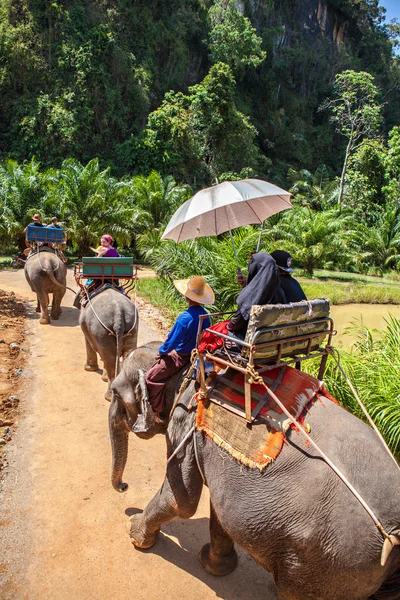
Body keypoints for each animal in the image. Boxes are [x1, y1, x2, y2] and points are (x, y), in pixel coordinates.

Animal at [108, 342, 400, 600]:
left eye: (115, 393)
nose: (124, 487)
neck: (185, 367)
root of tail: (393, 531)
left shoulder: (185, 424)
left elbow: (180, 502)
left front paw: (133, 533)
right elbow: (218, 510)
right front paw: (215, 566)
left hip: (331, 561)